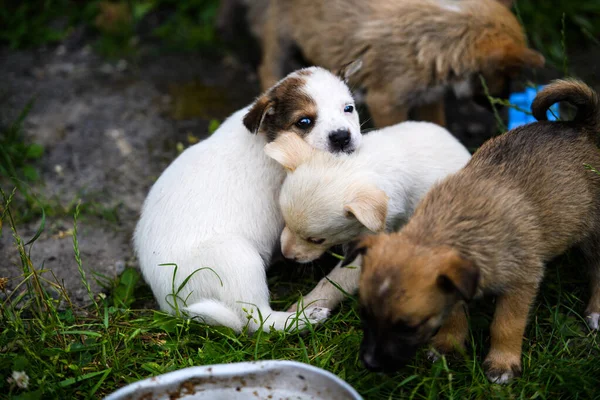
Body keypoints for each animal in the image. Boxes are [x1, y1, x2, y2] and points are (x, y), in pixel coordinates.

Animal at [135, 66, 360, 334]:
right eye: (304, 122)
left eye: (348, 108)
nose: (342, 137)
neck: (269, 138)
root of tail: (172, 305)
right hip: (239, 258)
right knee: (259, 320)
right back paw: (303, 319)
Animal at [255, 0, 548, 127]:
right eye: (508, 73)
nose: (502, 104)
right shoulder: (386, 103)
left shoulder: (430, 97)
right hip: (281, 33)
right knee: (268, 67)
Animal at [264, 122, 472, 310]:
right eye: (285, 222)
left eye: (317, 240)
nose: (286, 255)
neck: (362, 166)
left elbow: (333, 283)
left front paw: (304, 308)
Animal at [344, 79, 600, 382]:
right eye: (364, 314)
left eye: (408, 327)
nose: (369, 363)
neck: (444, 229)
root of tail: (581, 127)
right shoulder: (454, 284)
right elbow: (454, 314)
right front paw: (448, 345)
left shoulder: (521, 282)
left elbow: (505, 324)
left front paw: (502, 364)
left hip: (595, 234)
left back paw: (596, 312)